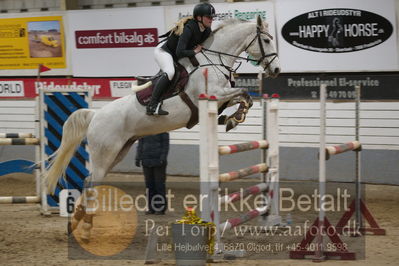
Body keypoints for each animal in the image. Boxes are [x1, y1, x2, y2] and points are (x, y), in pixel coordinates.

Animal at [44, 15, 282, 242]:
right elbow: (243, 93)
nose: (277, 70)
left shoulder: (221, 97)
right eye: (267, 40)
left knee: (88, 181)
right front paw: (235, 118)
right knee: (92, 183)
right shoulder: (214, 94)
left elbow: (242, 97)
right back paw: (84, 228)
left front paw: (231, 118)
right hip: (104, 153)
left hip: (118, 152)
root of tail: (95, 115)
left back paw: (75, 225)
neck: (214, 60)